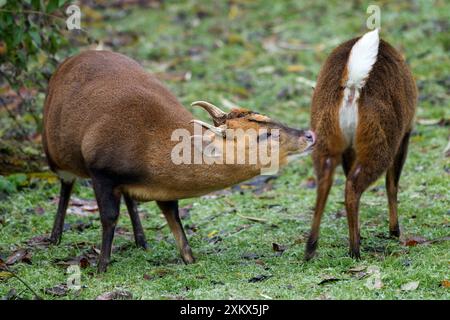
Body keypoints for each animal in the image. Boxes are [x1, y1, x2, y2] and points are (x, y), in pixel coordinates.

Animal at [44, 50, 314, 272]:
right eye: (263, 134)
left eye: (268, 118)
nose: (309, 134)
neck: (149, 148)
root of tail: (66, 62)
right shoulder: (100, 171)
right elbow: (109, 217)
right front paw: (101, 266)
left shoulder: (163, 186)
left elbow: (173, 216)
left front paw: (189, 259)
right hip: (55, 153)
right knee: (66, 184)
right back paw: (54, 237)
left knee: (129, 198)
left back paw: (141, 241)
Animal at [306, 29, 418, 260]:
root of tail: (351, 88)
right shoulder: (406, 133)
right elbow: (392, 184)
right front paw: (394, 230)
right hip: (381, 141)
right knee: (353, 186)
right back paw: (355, 249)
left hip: (325, 134)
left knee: (326, 180)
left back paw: (311, 247)